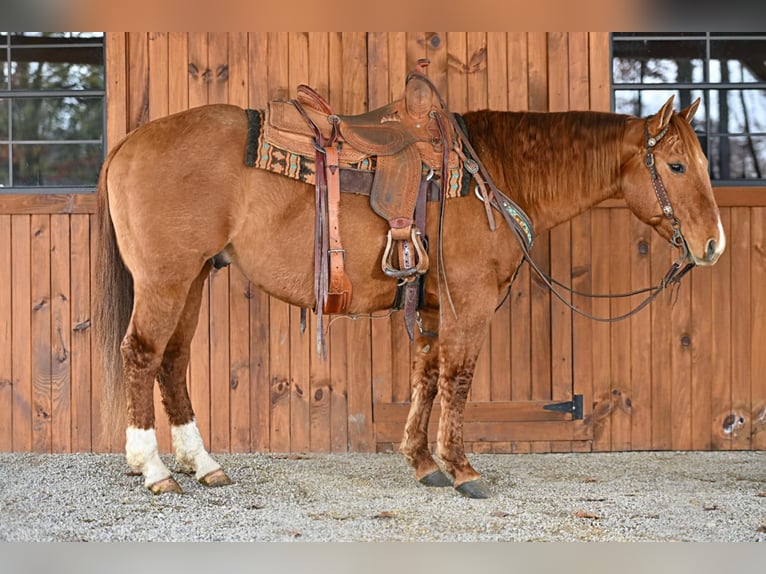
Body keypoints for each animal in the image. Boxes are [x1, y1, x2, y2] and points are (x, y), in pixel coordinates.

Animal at [96, 92, 728, 498]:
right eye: (675, 165)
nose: (714, 244)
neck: (493, 174)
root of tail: (129, 141)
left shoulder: (432, 306)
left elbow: (425, 376)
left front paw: (422, 462)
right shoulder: (469, 303)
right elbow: (458, 379)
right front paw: (462, 469)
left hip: (195, 277)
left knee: (173, 361)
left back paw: (202, 464)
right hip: (167, 278)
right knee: (141, 355)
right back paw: (153, 468)